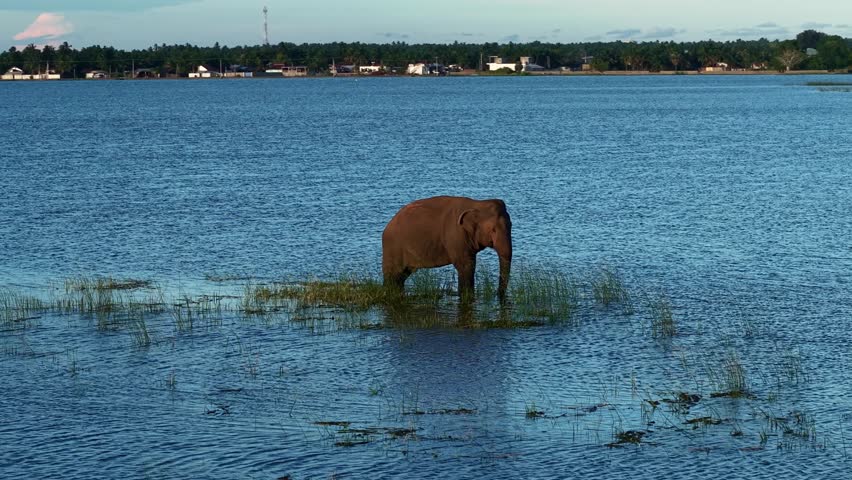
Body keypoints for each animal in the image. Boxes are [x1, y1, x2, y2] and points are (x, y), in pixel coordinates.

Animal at [382, 196, 512, 302]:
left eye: (511, 226)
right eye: (493, 230)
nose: (498, 295)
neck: (477, 204)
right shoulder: (455, 236)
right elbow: (466, 266)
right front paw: (467, 296)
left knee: (401, 276)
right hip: (392, 249)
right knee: (393, 275)